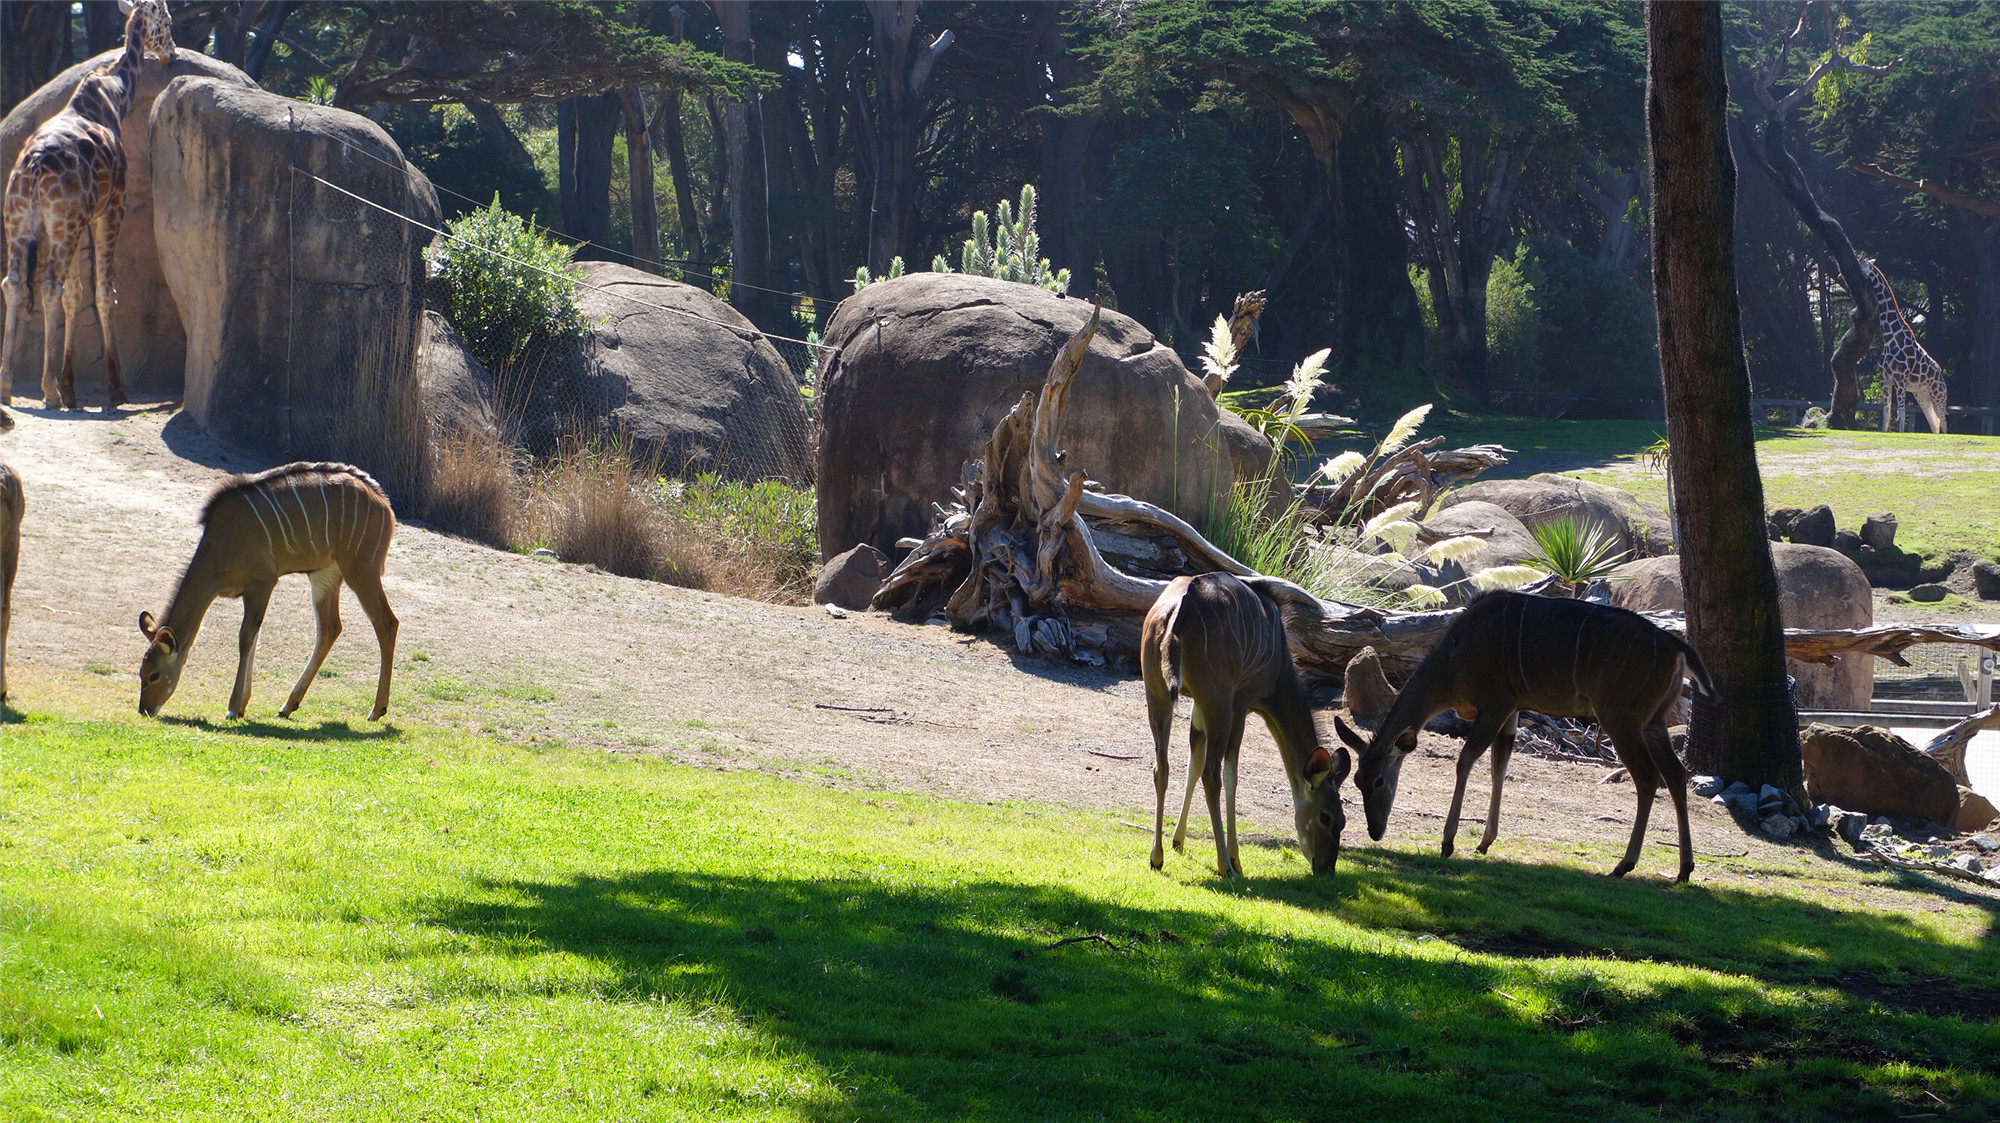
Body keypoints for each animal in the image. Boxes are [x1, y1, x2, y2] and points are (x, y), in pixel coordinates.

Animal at [0, 0, 176, 411]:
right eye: (167, 19)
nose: (172, 53)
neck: (117, 95)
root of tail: (32, 167)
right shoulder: (110, 209)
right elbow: (102, 293)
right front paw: (113, 389)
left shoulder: (75, 221)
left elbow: (75, 295)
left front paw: (71, 388)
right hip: (62, 225)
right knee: (48, 286)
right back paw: (47, 391)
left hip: (19, 223)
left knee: (14, 284)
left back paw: (7, 386)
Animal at [140, 461, 398, 715]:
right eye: (140, 672)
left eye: (154, 675)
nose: (145, 710)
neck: (219, 546)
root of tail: (384, 503)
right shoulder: (256, 590)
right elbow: (254, 636)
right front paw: (243, 705)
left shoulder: (262, 584)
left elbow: (246, 637)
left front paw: (233, 708)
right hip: (324, 573)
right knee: (329, 628)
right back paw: (288, 706)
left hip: (361, 569)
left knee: (387, 623)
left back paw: (377, 709)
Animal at [1152, 567, 1352, 875]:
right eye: (1326, 817)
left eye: (1343, 821)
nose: (1326, 868)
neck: (1280, 666)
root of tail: (1179, 613)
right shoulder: (1240, 703)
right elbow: (1230, 774)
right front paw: (1236, 858)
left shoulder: (1199, 705)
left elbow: (1192, 764)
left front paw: (1178, 842)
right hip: (1218, 702)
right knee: (1212, 775)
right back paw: (1226, 866)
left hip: (1160, 693)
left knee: (1161, 765)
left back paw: (1156, 858)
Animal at [1336, 591, 1712, 879]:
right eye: (1357, 780)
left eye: (1379, 781)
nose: (1375, 831)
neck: (1451, 663)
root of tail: (1678, 650)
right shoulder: (1513, 711)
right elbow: (1498, 767)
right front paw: (1484, 842)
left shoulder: (1496, 704)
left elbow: (1466, 761)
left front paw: (1448, 841)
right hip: (1653, 722)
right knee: (1676, 774)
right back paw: (1684, 869)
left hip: (1622, 718)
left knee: (1648, 777)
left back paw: (1624, 864)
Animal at [1864, 254, 1944, 433]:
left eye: (1861, 263)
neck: (1890, 337)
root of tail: (1941, 375)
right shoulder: (1885, 380)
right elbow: (1886, 413)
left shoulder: (1900, 379)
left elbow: (1901, 413)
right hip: (1922, 395)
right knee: (1934, 422)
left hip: (1938, 395)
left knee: (1944, 422)